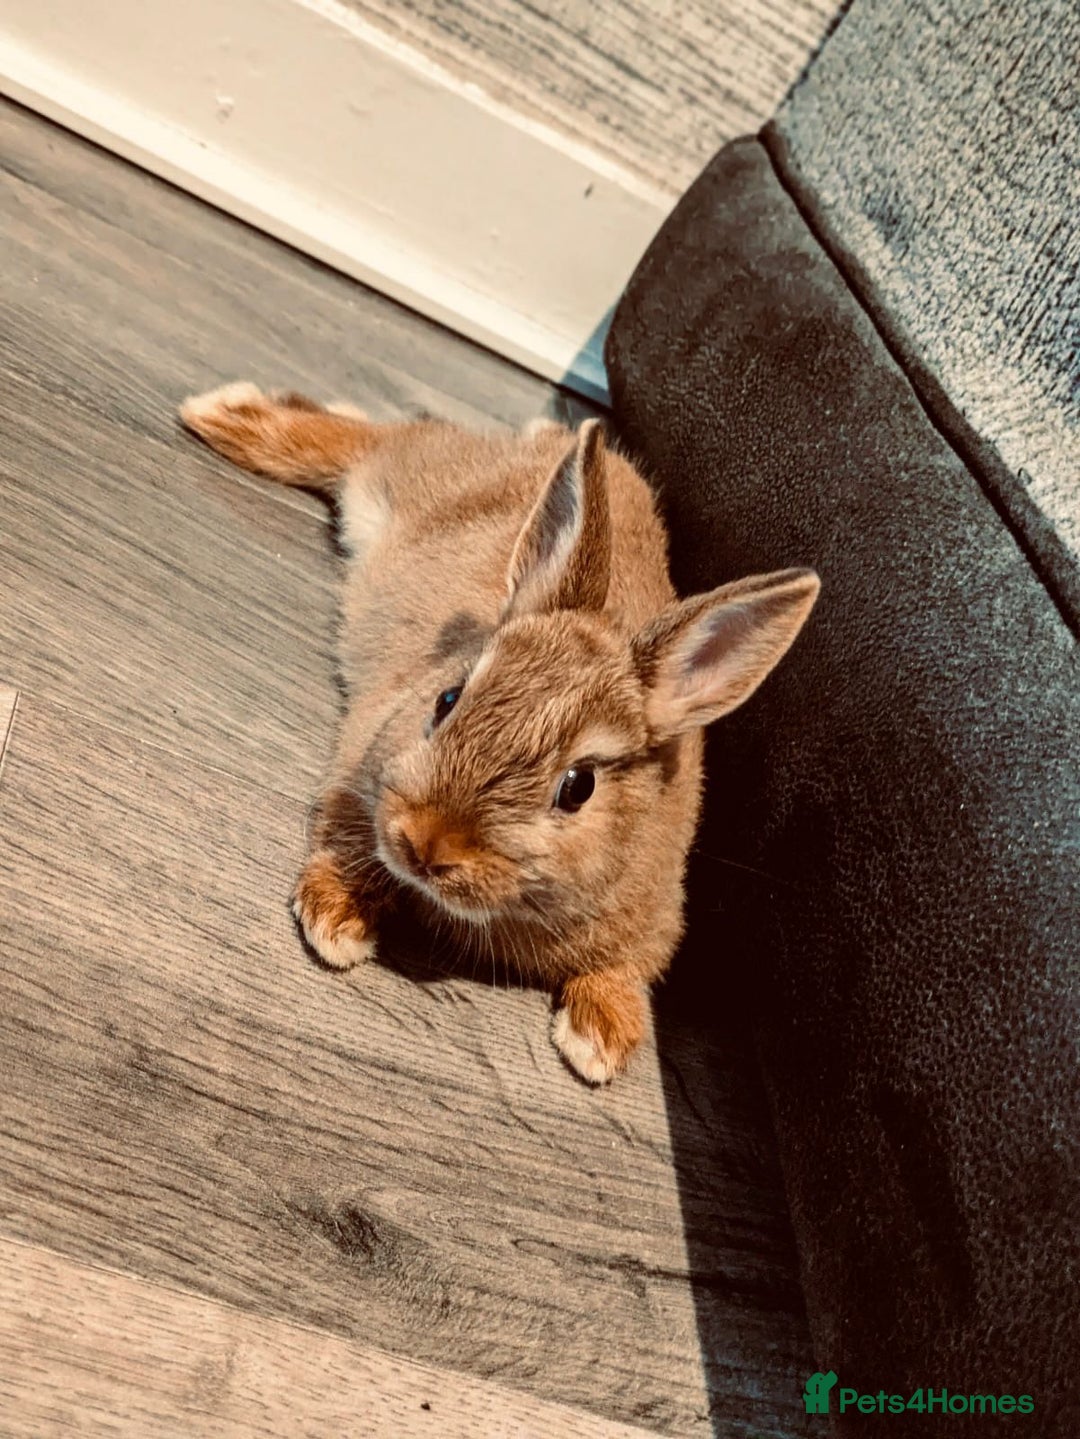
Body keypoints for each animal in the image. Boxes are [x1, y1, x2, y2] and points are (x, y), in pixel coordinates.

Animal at [179, 382, 819, 1084]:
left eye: (579, 786)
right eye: (446, 700)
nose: (424, 844)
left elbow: (625, 971)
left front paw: (600, 1040)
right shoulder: (364, 764)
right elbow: (346, 834)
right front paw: (337, 918)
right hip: (411, 479)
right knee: (374, 442)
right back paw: (225, 416)